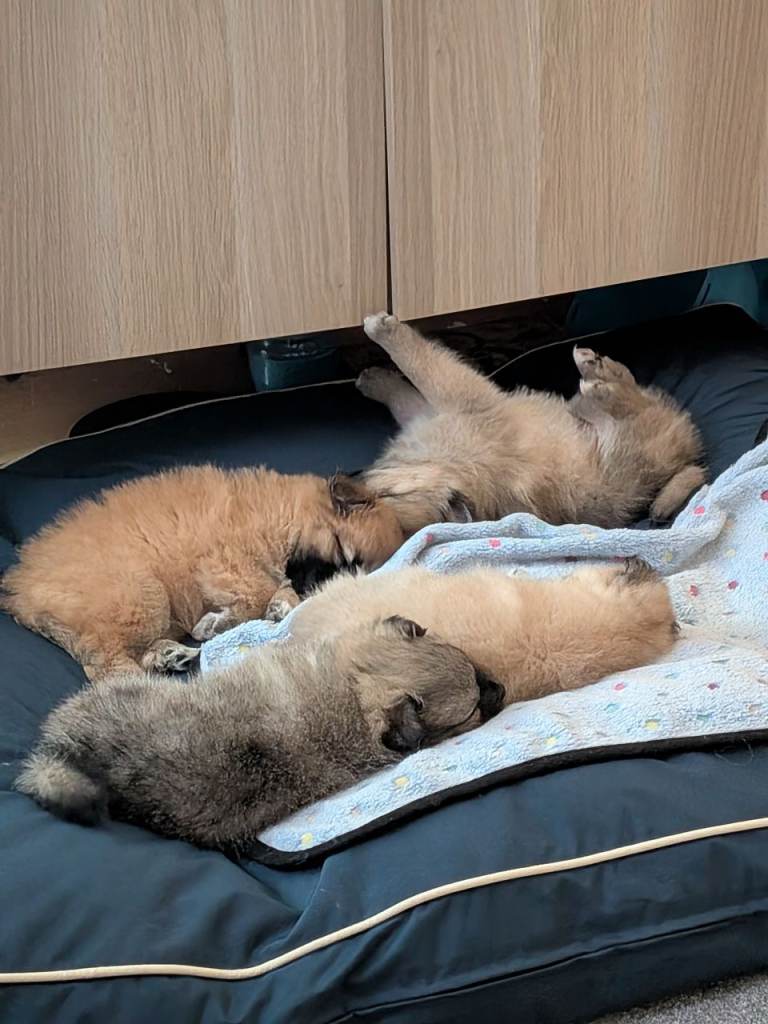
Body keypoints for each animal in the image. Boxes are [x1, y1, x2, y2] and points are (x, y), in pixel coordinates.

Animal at [1, 466, 404, 681]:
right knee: (103, 663)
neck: (286, 516)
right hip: (142, 594)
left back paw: (168, 656)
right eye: (338, 546)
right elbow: (255, 593)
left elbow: (273, 591)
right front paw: (217, 624)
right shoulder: (224, 562)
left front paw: (282, 605)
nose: (317, 587)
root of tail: (19, 593)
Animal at [356, 313, 705, 534]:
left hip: (622, 438)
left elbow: (419, 366)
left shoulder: (464, 399)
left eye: (387, 497)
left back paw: (596, 374)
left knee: (629, 401)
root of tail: (688, 457)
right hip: (589, 416)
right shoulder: (427, 415)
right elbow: (405, 393)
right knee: (627, 393)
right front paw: (376, 378)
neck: (454, 467)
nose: (346, 485)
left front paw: (381, 338)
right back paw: (593, 368)